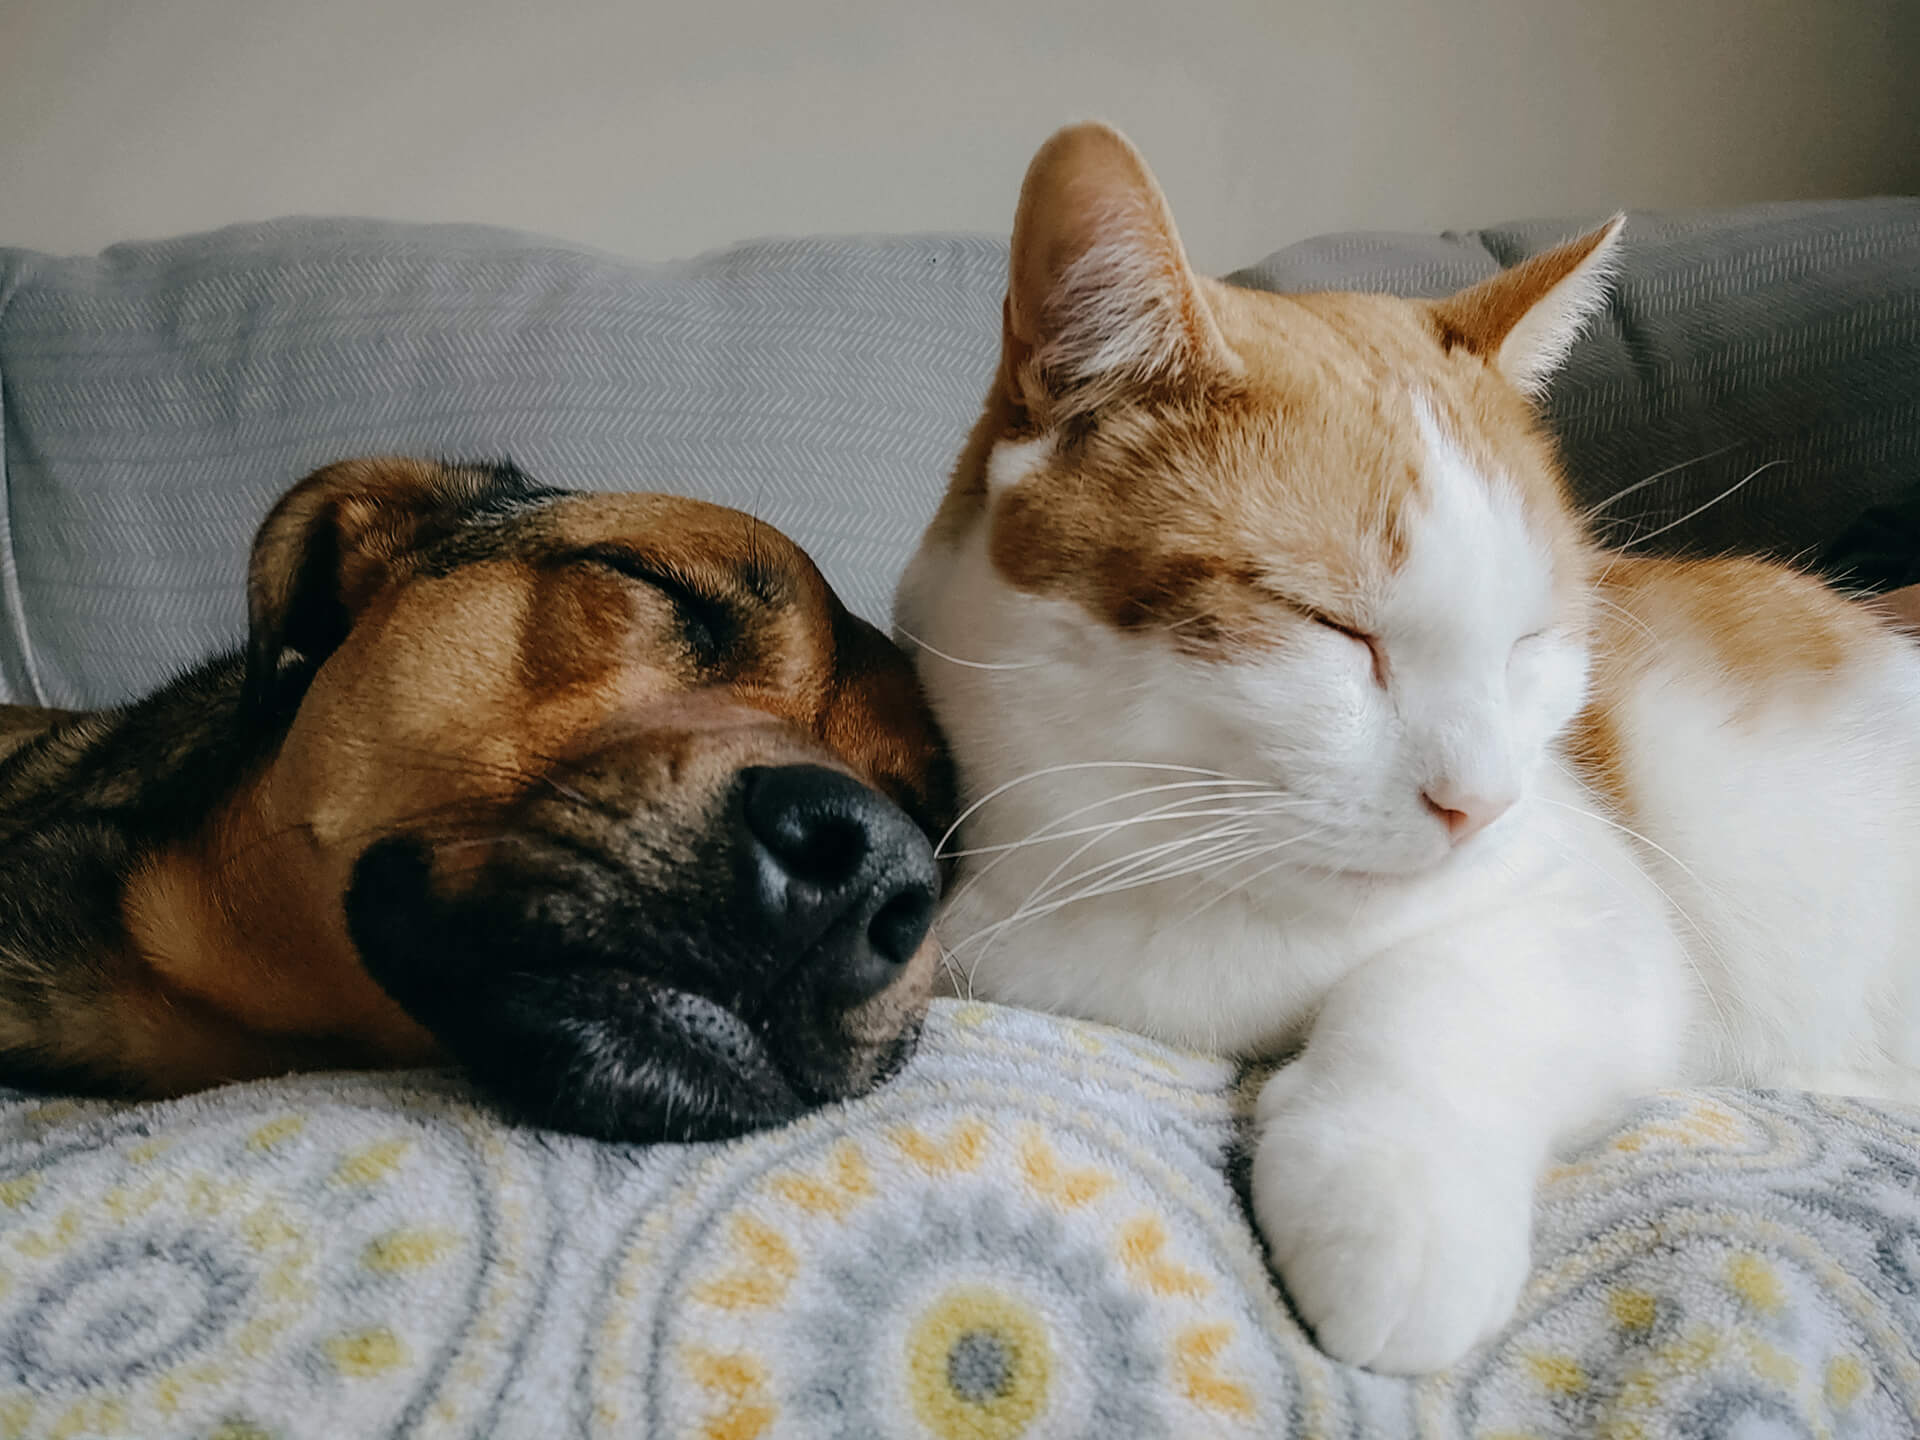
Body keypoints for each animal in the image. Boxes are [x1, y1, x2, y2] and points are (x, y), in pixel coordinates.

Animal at [894, 123, 1920, 1374]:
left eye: (1531, 640)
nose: (1479, 802)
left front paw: (1393, 1195)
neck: (1177, 886)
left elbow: (1439, 986)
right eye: (1335, 627)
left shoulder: (1596, 900)